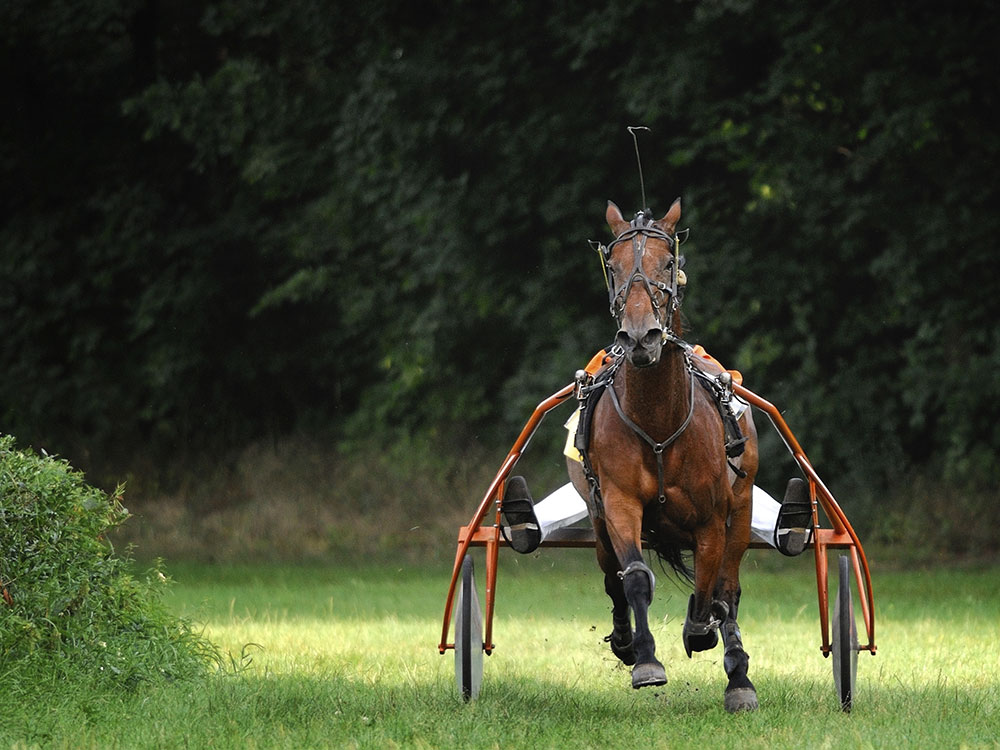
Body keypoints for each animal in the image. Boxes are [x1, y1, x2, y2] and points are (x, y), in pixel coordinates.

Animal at [572, 197, 756, 712]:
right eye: (613, 266)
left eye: (667, 263)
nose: (640, 337)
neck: (657, 421)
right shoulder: (617, 503)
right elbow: (633, 577)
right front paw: (645, 660)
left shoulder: (712, 519)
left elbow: (709, 590)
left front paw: (702, 632)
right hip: (597, 521)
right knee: (613, 577)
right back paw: (624, 638)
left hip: (743, 506)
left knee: (728, 587)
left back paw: (738, 676)